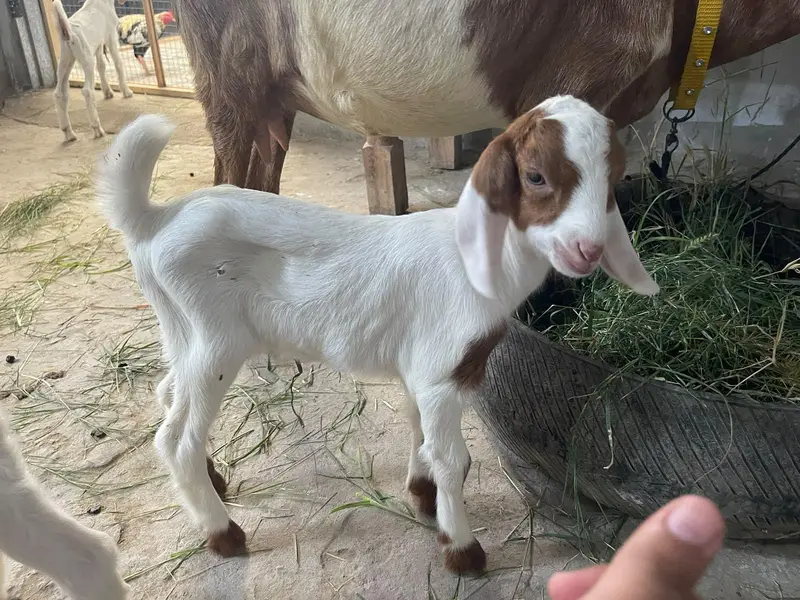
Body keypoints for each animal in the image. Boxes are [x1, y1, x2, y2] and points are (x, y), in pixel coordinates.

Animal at [52, 0, 134, 142]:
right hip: (87, 60)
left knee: (59, 94)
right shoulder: (111, 37)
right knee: (87, 91)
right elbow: (118, 63)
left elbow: (101, 65)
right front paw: (127, 92)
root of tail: (69, 32)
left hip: (65, 62)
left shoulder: (99, 44)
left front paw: (107, 92)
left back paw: (69, 133)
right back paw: (97, 129)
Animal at [97, 97, 659, 574]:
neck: (477, 262)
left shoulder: (419, 366)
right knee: (176, 439)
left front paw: (423, 493)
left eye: (613, 177)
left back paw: (210, 484)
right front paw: (462, 550)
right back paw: (224, 534)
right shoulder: (440, 372)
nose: (587, 249)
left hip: (180, 329)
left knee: (167, 393)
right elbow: (455, 459)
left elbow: (418, 430)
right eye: (536, 175)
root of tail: (154, 220)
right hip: (217, 340)